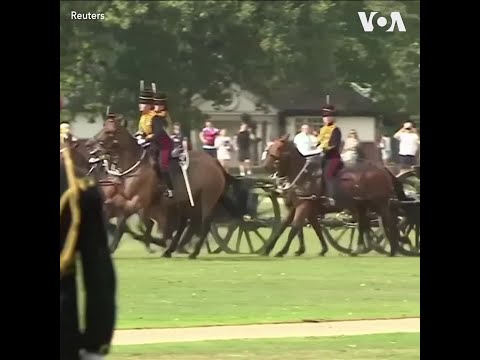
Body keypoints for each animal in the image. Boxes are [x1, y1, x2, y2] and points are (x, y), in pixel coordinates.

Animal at [94, 116, 248, 258]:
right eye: (103, 127)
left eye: (109, 131)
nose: (94, 149)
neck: (134, 165)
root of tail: (215, 163)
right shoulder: (124, 200)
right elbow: (114, 213)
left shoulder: (138, 201)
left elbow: (126, 222)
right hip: (190, 201)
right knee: (187, 224)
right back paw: (172, 249)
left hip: (207, 198)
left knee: (204, 223)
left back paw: (191, 251)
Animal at [260, 134, 404, 256]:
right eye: (270, 147)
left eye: (279, 147)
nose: (265, 166)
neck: (304, 175)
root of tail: (382, 169)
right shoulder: (298, 207)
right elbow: (287, 227)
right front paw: (269, 249)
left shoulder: (304, 206)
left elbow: (294, 228)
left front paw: (282, 251)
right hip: (362, 205)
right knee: (363, 224)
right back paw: (359, 249)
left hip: (379, 204)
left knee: (390, 222)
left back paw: (393, 249)